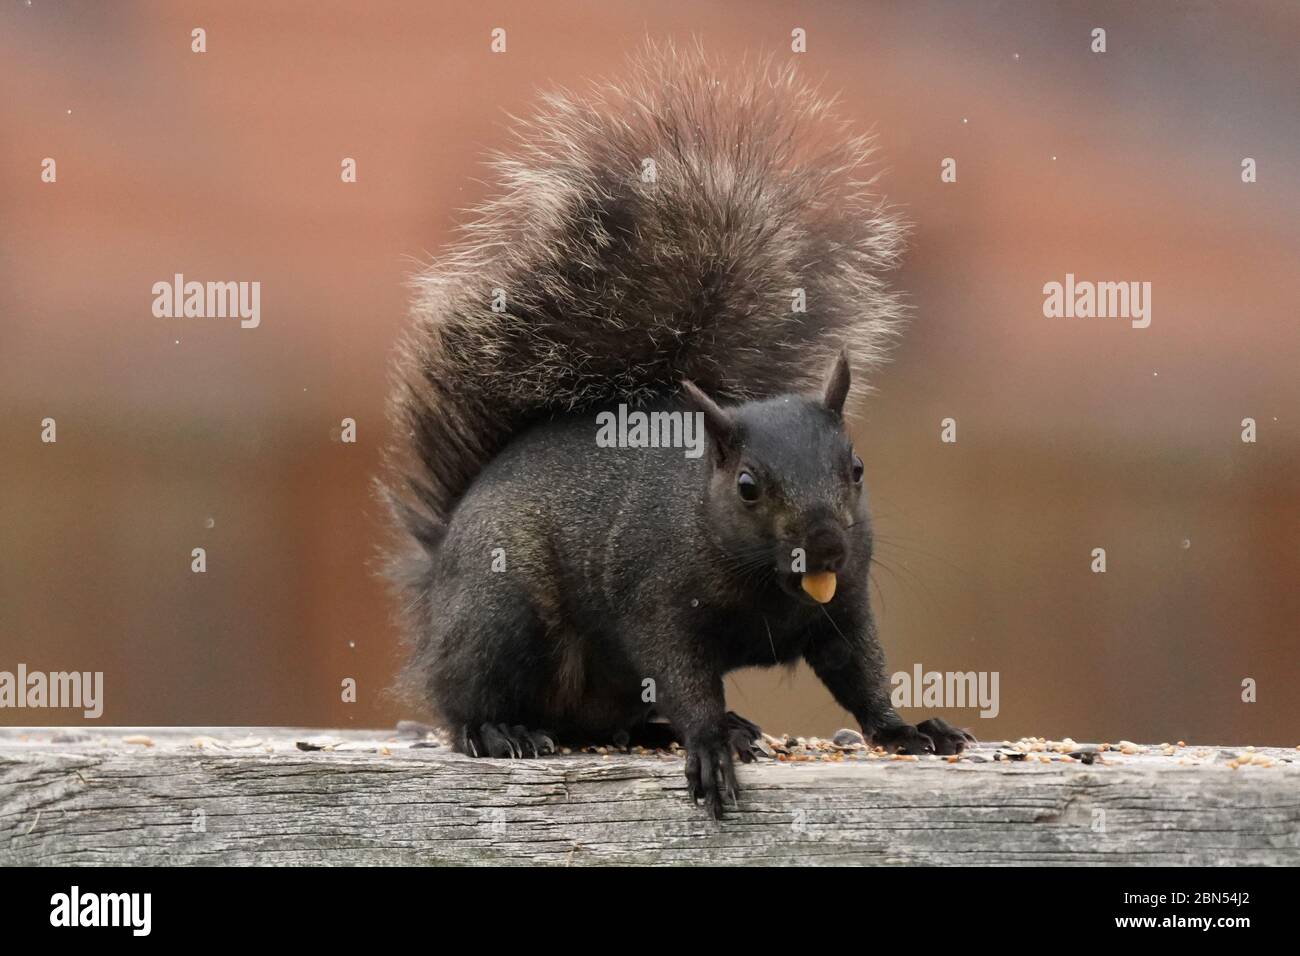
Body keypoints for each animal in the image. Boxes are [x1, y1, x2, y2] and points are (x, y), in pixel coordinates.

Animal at [382, 44, 972, 818]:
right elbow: (686, 677)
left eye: (857, 469)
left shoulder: (845, 605)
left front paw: (908, 730)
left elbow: (862, 674)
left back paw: (666, 731)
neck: (767, 582)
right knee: (466, 703)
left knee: (605, 722)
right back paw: (503, 731)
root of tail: (437, 580)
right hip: (499, 615)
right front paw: (710, 744)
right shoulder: (658, 604)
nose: (826, 544)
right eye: (748, 486)